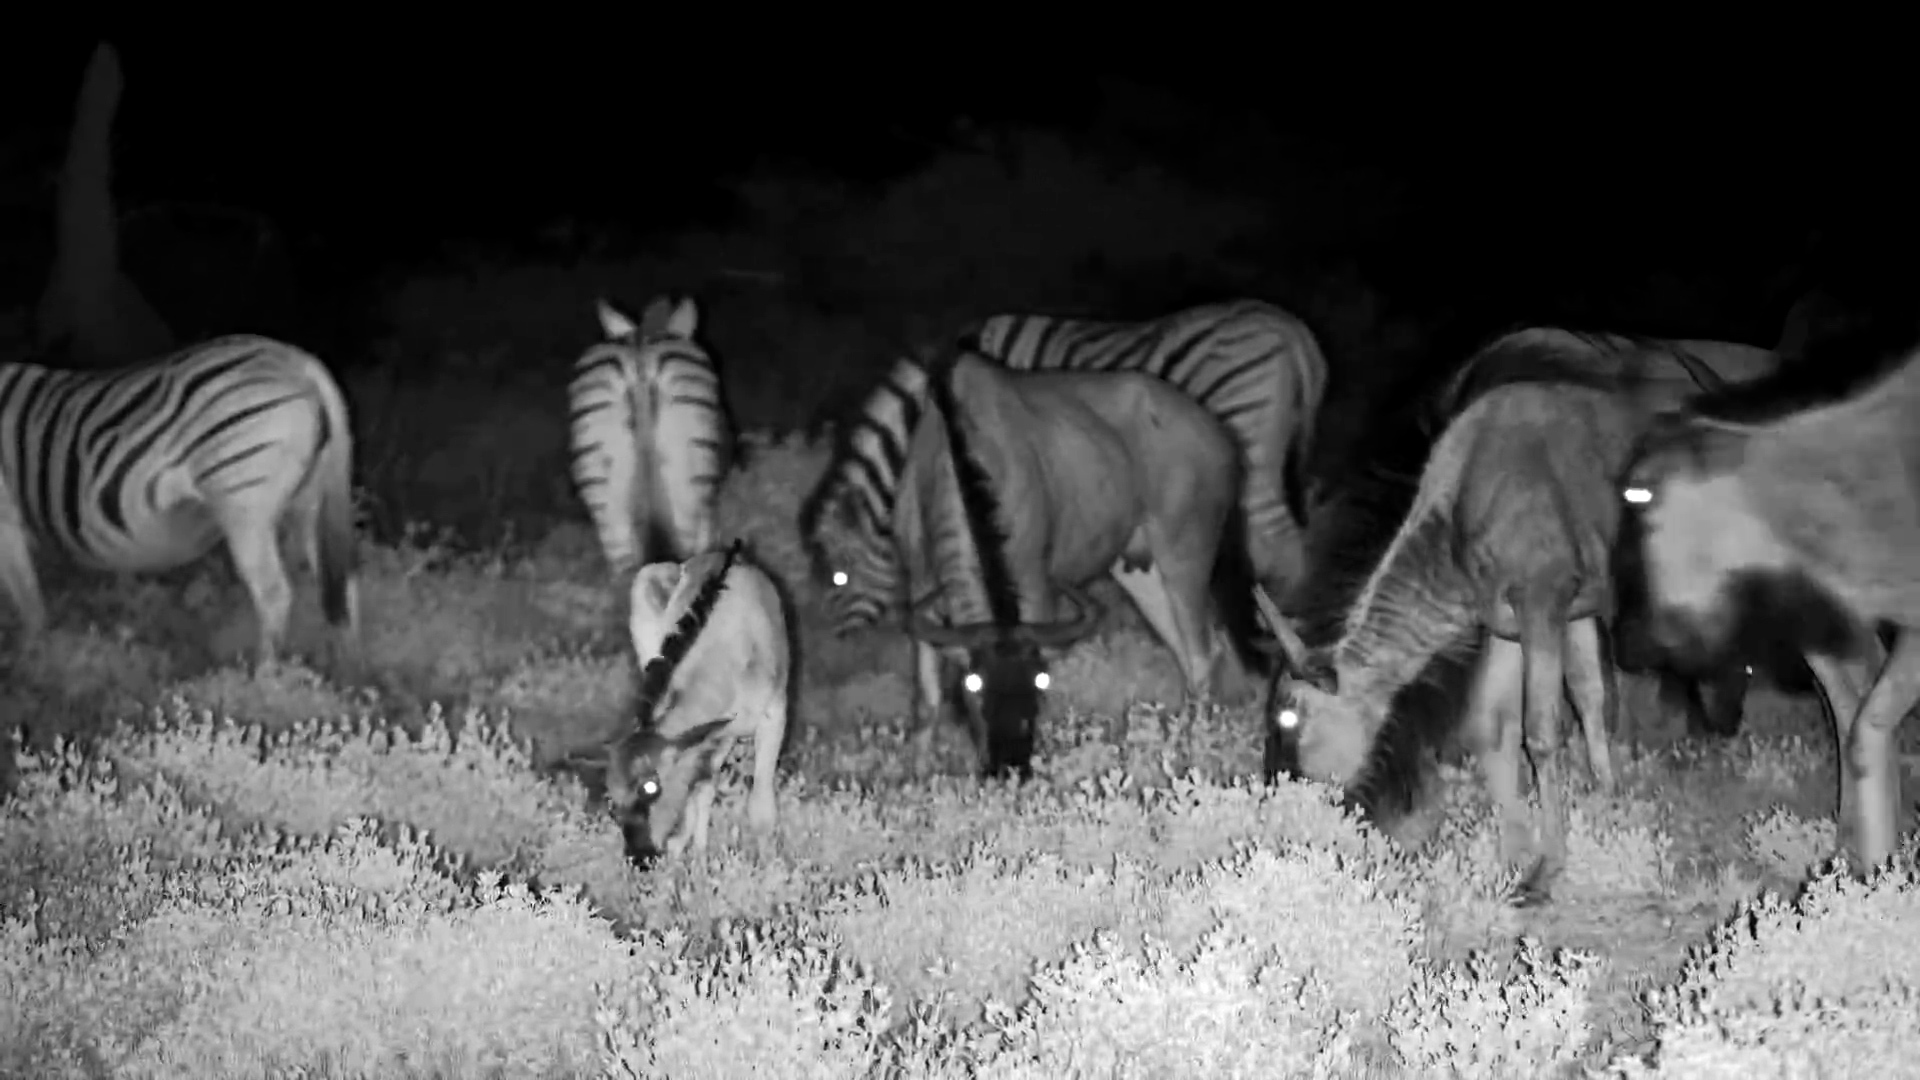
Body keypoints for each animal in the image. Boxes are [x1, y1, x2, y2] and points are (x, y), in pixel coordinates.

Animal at [0, 335, 359, 663]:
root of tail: (299, 361)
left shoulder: (7, 527)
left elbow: (30, 607)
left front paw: (36, 663)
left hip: (243, 505)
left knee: (273, 593)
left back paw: (263, 678)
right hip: (308, 505)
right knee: (342, 587)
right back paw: (347, 671)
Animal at [576, 539, 791, 866]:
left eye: (650, 786)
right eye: (612, 797)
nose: (640, 856)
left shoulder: (773, 716)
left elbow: (760, 808)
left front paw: (771, 867)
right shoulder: (710, 734)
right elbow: (698, 788)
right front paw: (692, 856)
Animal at [801, 299, 1328, 636]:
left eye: (838, 578)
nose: (840, 647)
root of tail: (1295, 332)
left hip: (1249, 440)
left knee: (1283, 545)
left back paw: (1282, 629)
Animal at [897, 349, 1243, 777]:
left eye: (1040, 680)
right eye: (973, 683)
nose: (1011, 768)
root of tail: (1220, 437)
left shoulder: (1035, 586)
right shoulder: (920, 582)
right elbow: (927, 702)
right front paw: (917, 775)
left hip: (1184, 560)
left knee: (1202, 654)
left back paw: (1197, 747)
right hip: (1143, 576)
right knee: (1186, 653)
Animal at [1257, 373, 1643, 906]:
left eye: (1289, 717)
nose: (1279, 803)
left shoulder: (1542, 600)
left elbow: (1542, 733)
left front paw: (1545, 870)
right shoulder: (1511, 621)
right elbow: (1501, 726)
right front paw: (1520, 852)